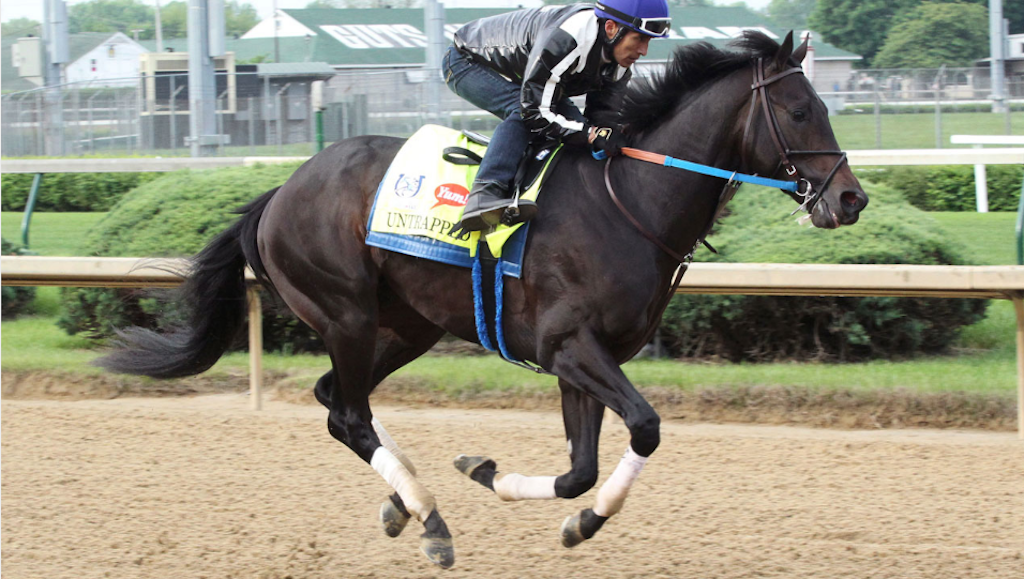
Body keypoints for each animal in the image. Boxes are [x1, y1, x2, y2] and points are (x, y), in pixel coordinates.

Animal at [96, 31, 868, 568]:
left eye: (826, 106)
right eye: (801, 109)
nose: (851, 199)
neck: (628, 200)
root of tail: (280, 191)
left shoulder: (585, 359)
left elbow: (578, 470)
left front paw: (526, 492)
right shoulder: (568, 346)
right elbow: (645, 427)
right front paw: (539, 500)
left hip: (406, 326)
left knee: (336, 399)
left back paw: (403, 503)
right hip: (345, 312)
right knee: (347, 413)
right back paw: (431, 521)